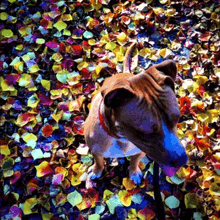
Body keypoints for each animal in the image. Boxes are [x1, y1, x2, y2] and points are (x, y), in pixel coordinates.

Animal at [84, 41, 187, 184]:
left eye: (177, 118)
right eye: (146, 133)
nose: (182, 160)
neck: (121, 138)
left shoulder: (140, 152)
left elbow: (134, 162)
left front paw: (134, 172)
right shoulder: (96, 151)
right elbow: (99, 161)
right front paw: (96, 171)